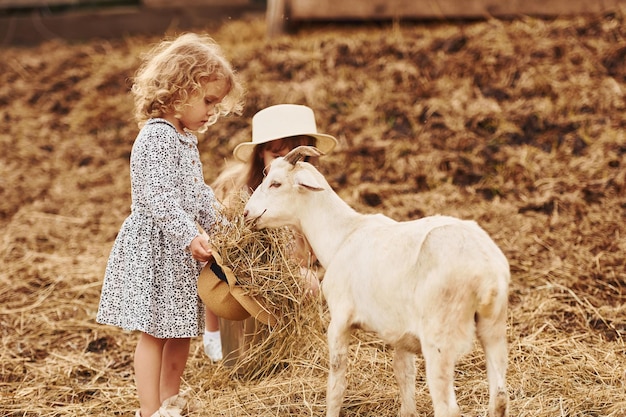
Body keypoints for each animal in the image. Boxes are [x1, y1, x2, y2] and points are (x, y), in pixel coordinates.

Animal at [243, 145, 508, 416]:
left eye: (275, 183)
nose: (246, 214)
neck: (343, 235)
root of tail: (486, 271)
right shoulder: (401, 333)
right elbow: (404, 375)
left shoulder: (339, 320)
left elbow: (336, 383)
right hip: (494, 327)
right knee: (499, 397)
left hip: (440, 338)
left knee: (448, 408)